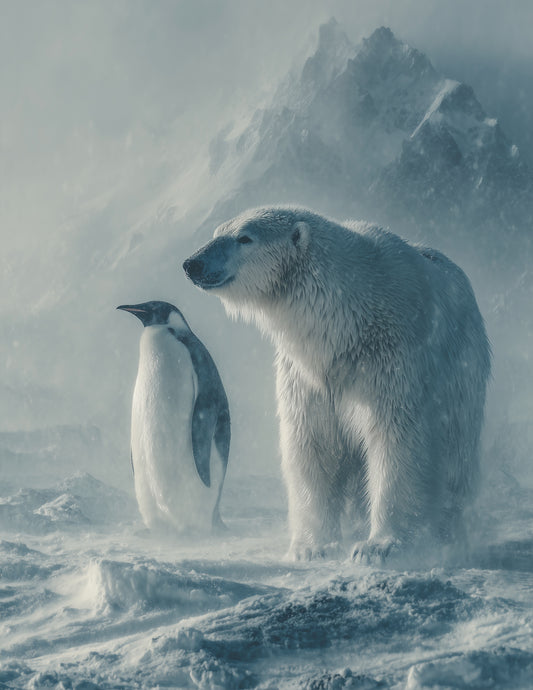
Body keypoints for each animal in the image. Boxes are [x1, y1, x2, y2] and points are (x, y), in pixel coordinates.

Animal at [183, 206, 491, 561]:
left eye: (244, 238)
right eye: (217, 232)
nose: (192, 263)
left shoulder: (392, 359)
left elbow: (397, 439)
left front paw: (378, 546)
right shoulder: (308, 377)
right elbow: (314, 442)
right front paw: (312, 547)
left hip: (462, 377)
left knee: (457, 456)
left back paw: (448, 534)